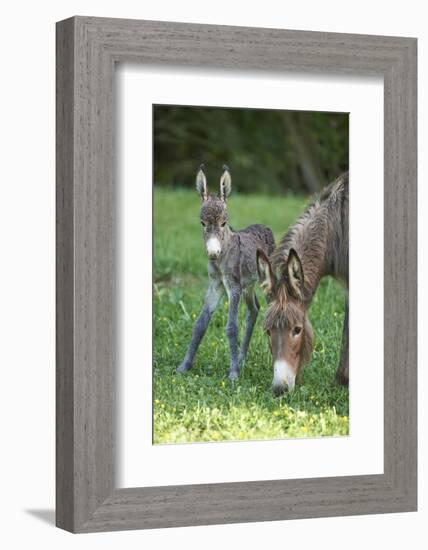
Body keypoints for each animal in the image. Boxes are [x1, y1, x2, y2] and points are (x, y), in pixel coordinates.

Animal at [176, 165, 274, 380]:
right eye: (202, 223)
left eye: (223, 223)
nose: (213, 253)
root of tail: (264, 226)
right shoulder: (216, 286)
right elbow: (200, 324)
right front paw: (184, 366)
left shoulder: (233, 287)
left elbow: (231, 328)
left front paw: (233, 374)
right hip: (248, 285)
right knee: (254, 309)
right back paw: (242, 359)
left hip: (266, 280)